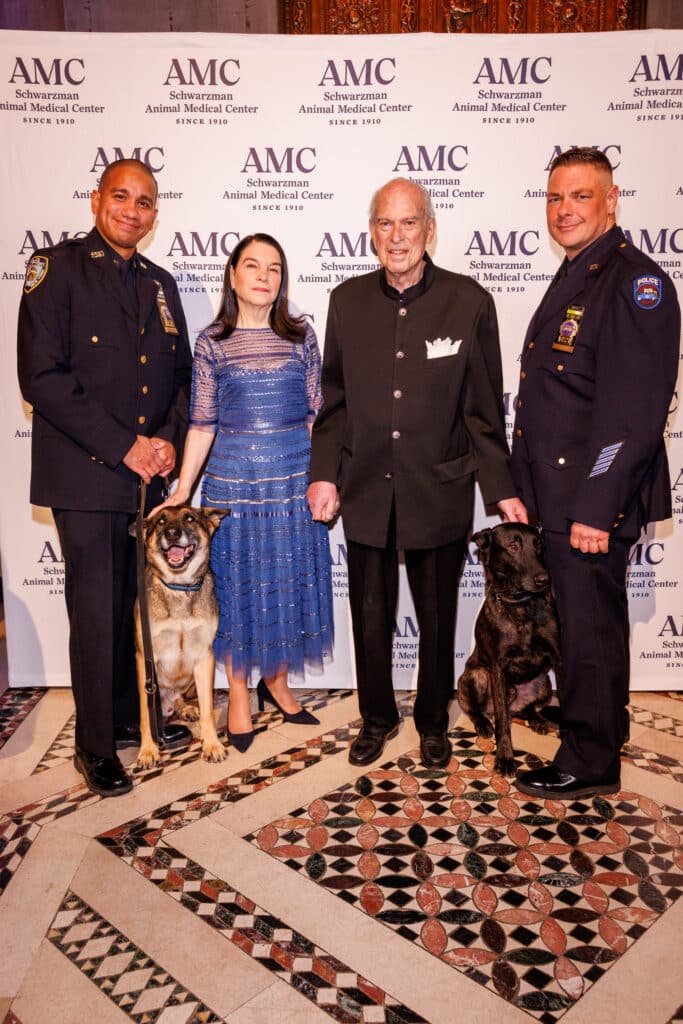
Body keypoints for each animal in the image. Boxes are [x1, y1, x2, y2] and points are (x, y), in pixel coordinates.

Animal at [458, 528, 561, 774]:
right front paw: (505, 757)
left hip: (544, 683)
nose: (544, 580)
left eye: (538, 545)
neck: (521, 604)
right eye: (513, 547)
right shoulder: (498, 668)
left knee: (528, 708)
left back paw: (536, 718)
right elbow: (502, 722)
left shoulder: (557, 655)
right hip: (477, 675)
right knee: (475, 708)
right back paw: (483, 723)